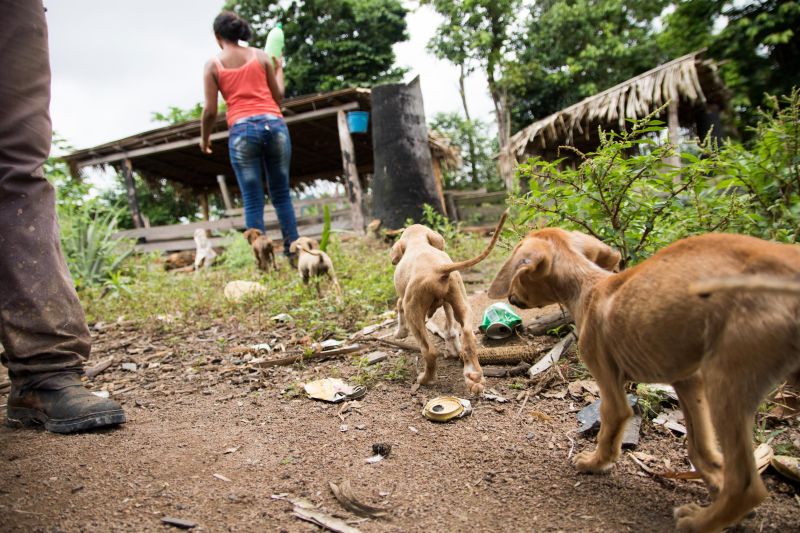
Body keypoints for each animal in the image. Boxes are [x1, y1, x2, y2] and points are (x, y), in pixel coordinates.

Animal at [488, 230, 800, 532]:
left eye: (519, 276)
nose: (511, 297)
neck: (589, 286)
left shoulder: (608, 380)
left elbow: (609, 427)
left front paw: (595, 462)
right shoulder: (687, 381)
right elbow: (700, 446)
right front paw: (715, 477)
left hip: (726, 380)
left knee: (747, 484)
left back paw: (699, 522)